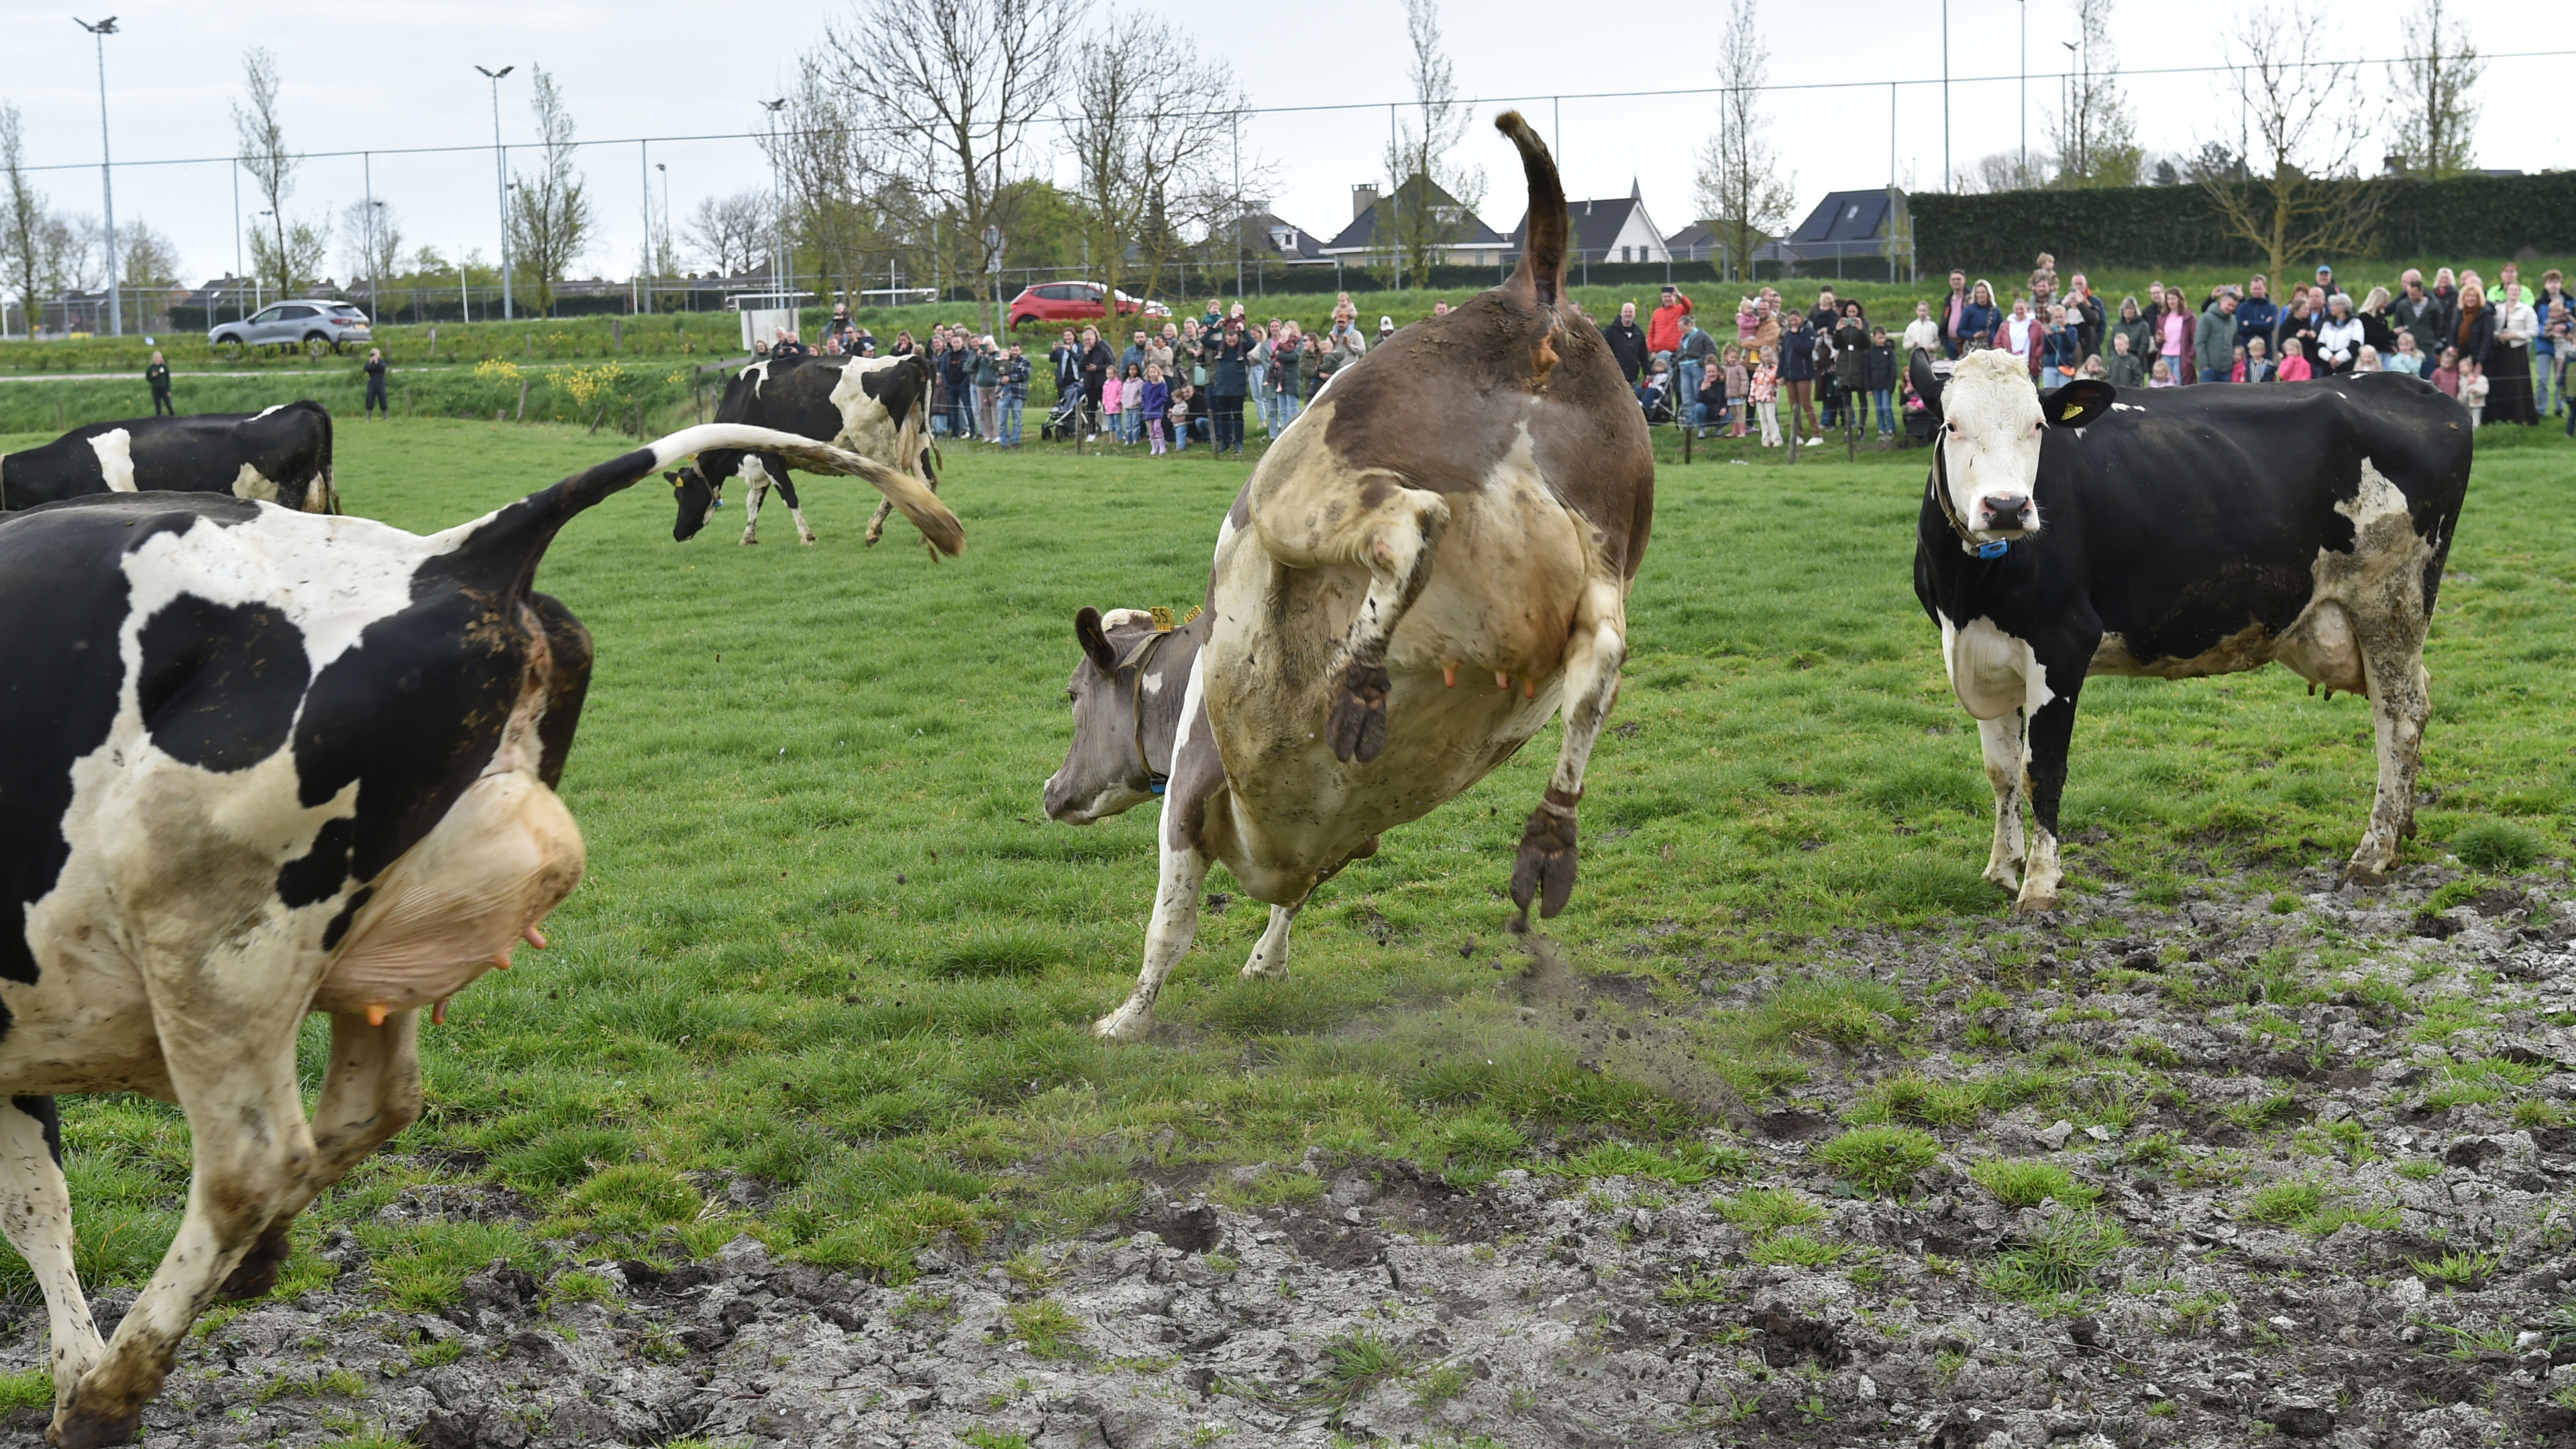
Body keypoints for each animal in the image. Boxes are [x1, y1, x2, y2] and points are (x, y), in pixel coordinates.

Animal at [0, 423, 957, 1448]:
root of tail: (455, 556)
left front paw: (79, 1378)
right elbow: (38, 1203)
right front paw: (69, 1362)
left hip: (206, 929)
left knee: (252, 1165)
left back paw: (112, 1393)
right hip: (364, 950)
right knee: (374, 1105)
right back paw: (243, 1270)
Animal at [662, 352, 939, 550]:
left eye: (680, 495)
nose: (677, 533)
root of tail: (909, 360)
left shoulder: (770, 457)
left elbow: (789, 496)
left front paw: (807, 537)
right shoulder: (758, 466)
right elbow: (754, 501)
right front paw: (748, 537)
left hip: (875, 442)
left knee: (898, 484)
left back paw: (873, 531)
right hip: (918, 439)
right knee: (927, 481)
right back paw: (927, 536)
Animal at [1044, 112, 1654, 1040]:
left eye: (1075, 697)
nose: (1050, 791)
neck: (1184, 676)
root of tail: (1529, 292)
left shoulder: (1188, 802)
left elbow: (1170, 925)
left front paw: (1126, 1022)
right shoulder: (1336, 839)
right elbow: (1289, 901)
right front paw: (1265, 962)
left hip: (1302, 488)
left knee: (1412, 525)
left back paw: (1361, 686)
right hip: (1605, 554)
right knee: (1600, 665)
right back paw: (1549, 842)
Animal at [1908, 348, 2472, 912]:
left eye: (2038, 426)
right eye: (1951, 425)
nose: (2006, 506)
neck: (1971, 594)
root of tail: (2417, 389)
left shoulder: (2062, 643)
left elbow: (2041, 769)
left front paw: (2040, 885)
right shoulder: (1981, 654)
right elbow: (2001, 770)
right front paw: (2002, 869)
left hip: (2391, 601)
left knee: (2398, 717)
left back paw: (2373, 854)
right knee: (2416, 702)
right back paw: (2402, 832)